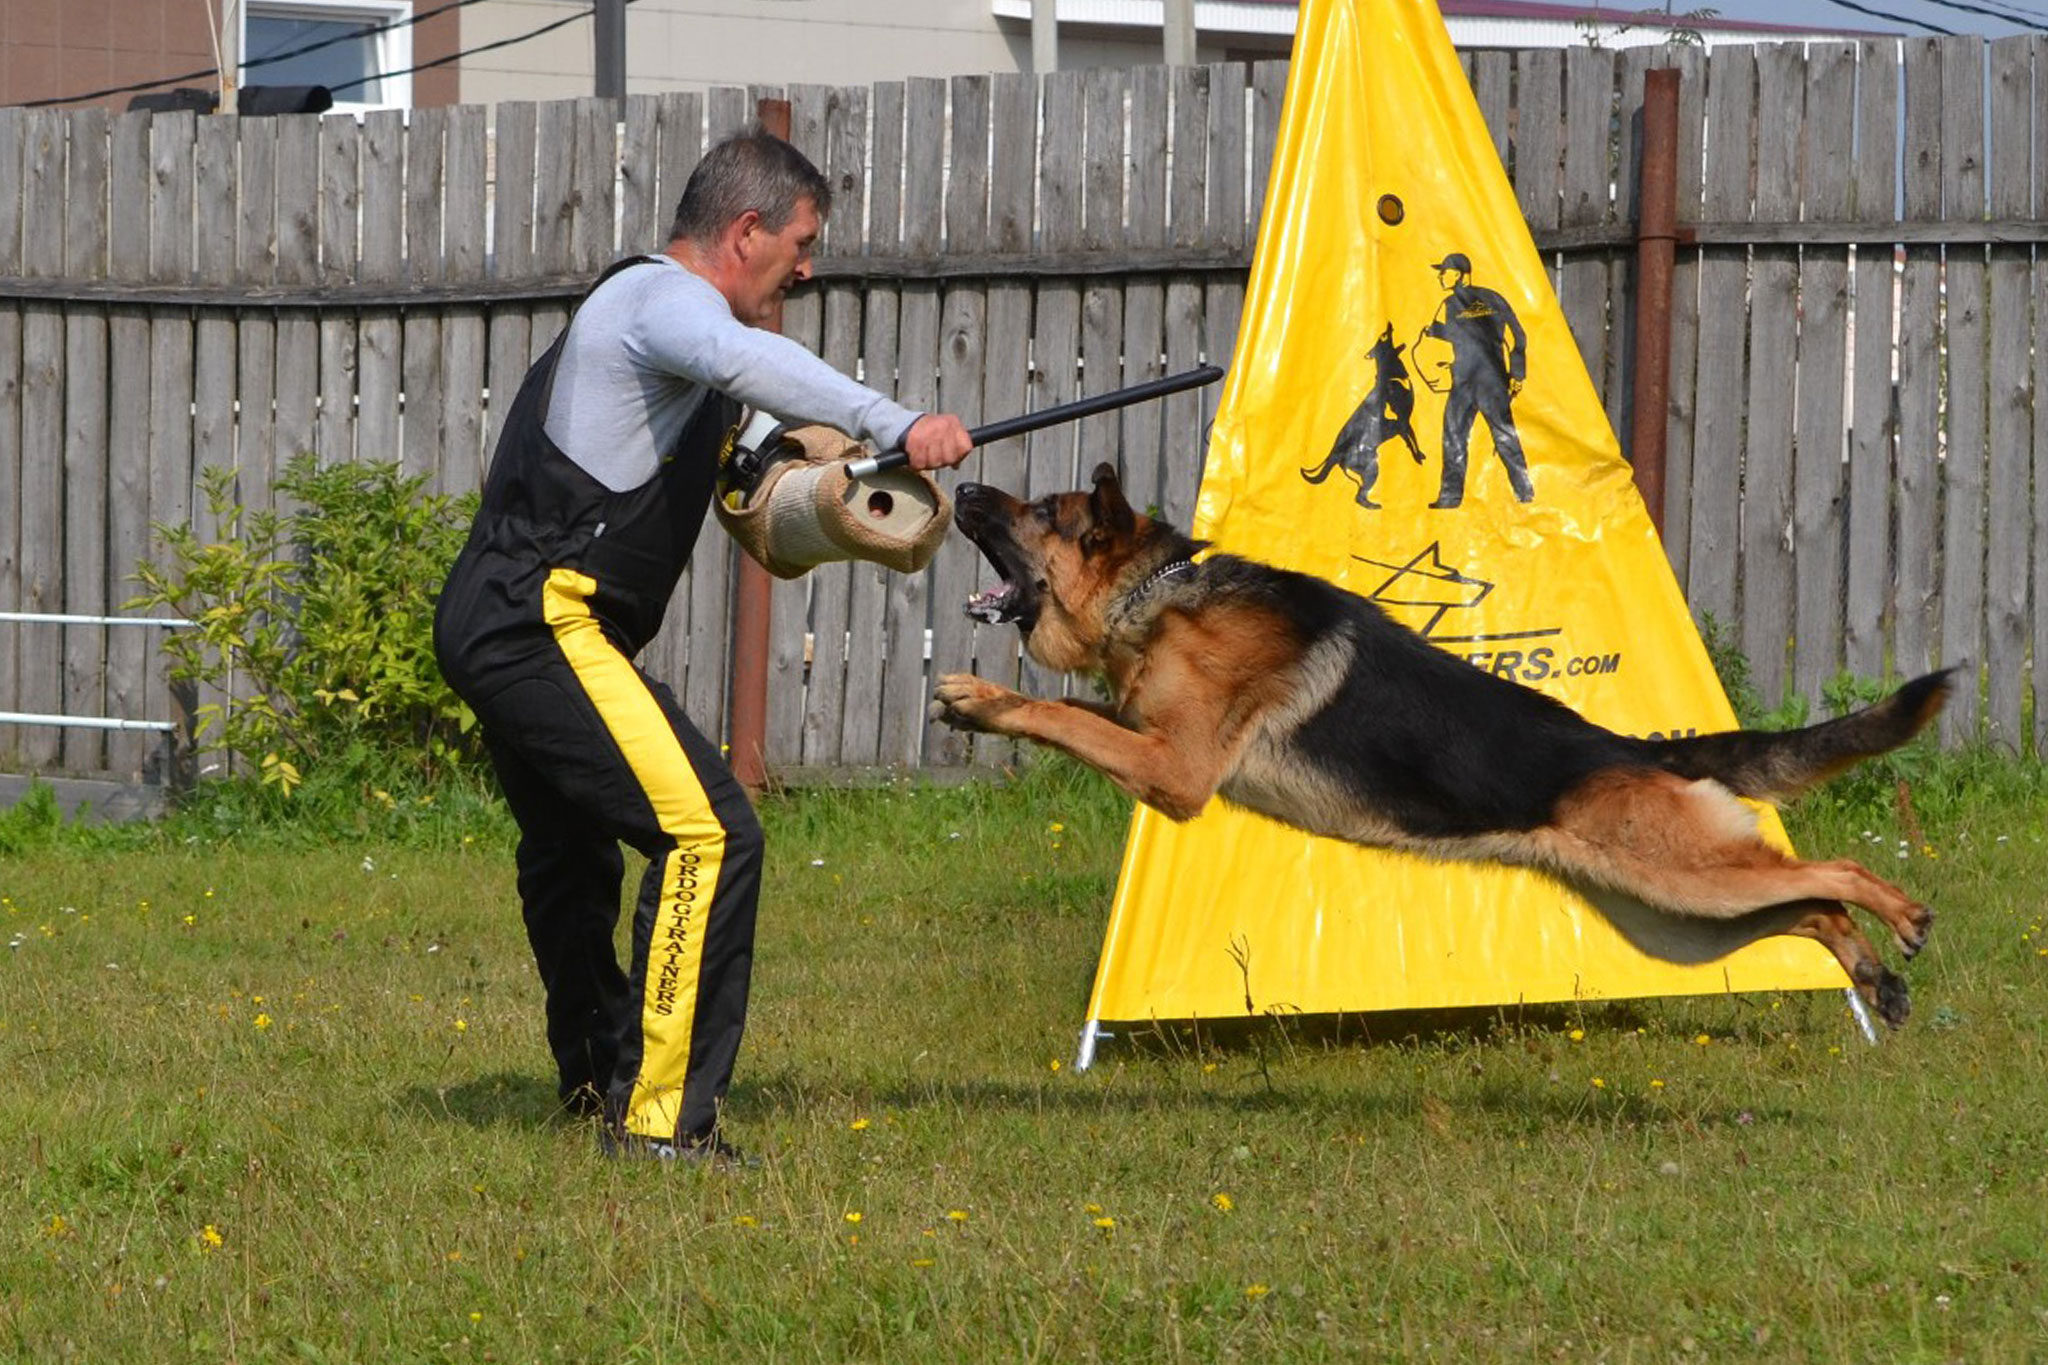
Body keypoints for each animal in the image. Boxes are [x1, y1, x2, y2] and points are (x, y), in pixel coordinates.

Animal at [933, 466, 1949, 1023]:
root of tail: (1641, 749)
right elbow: (1080, 709)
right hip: (1673, 915)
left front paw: (981, 697)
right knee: (1809, 905)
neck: (1158, 594)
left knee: (1837, 870)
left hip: (1685, 879)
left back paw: (1902, 916)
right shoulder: (1153, 741)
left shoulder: (1175, 771)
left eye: (1040, 512)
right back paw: (1871, 972)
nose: (963, 485)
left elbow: (1064, 715)